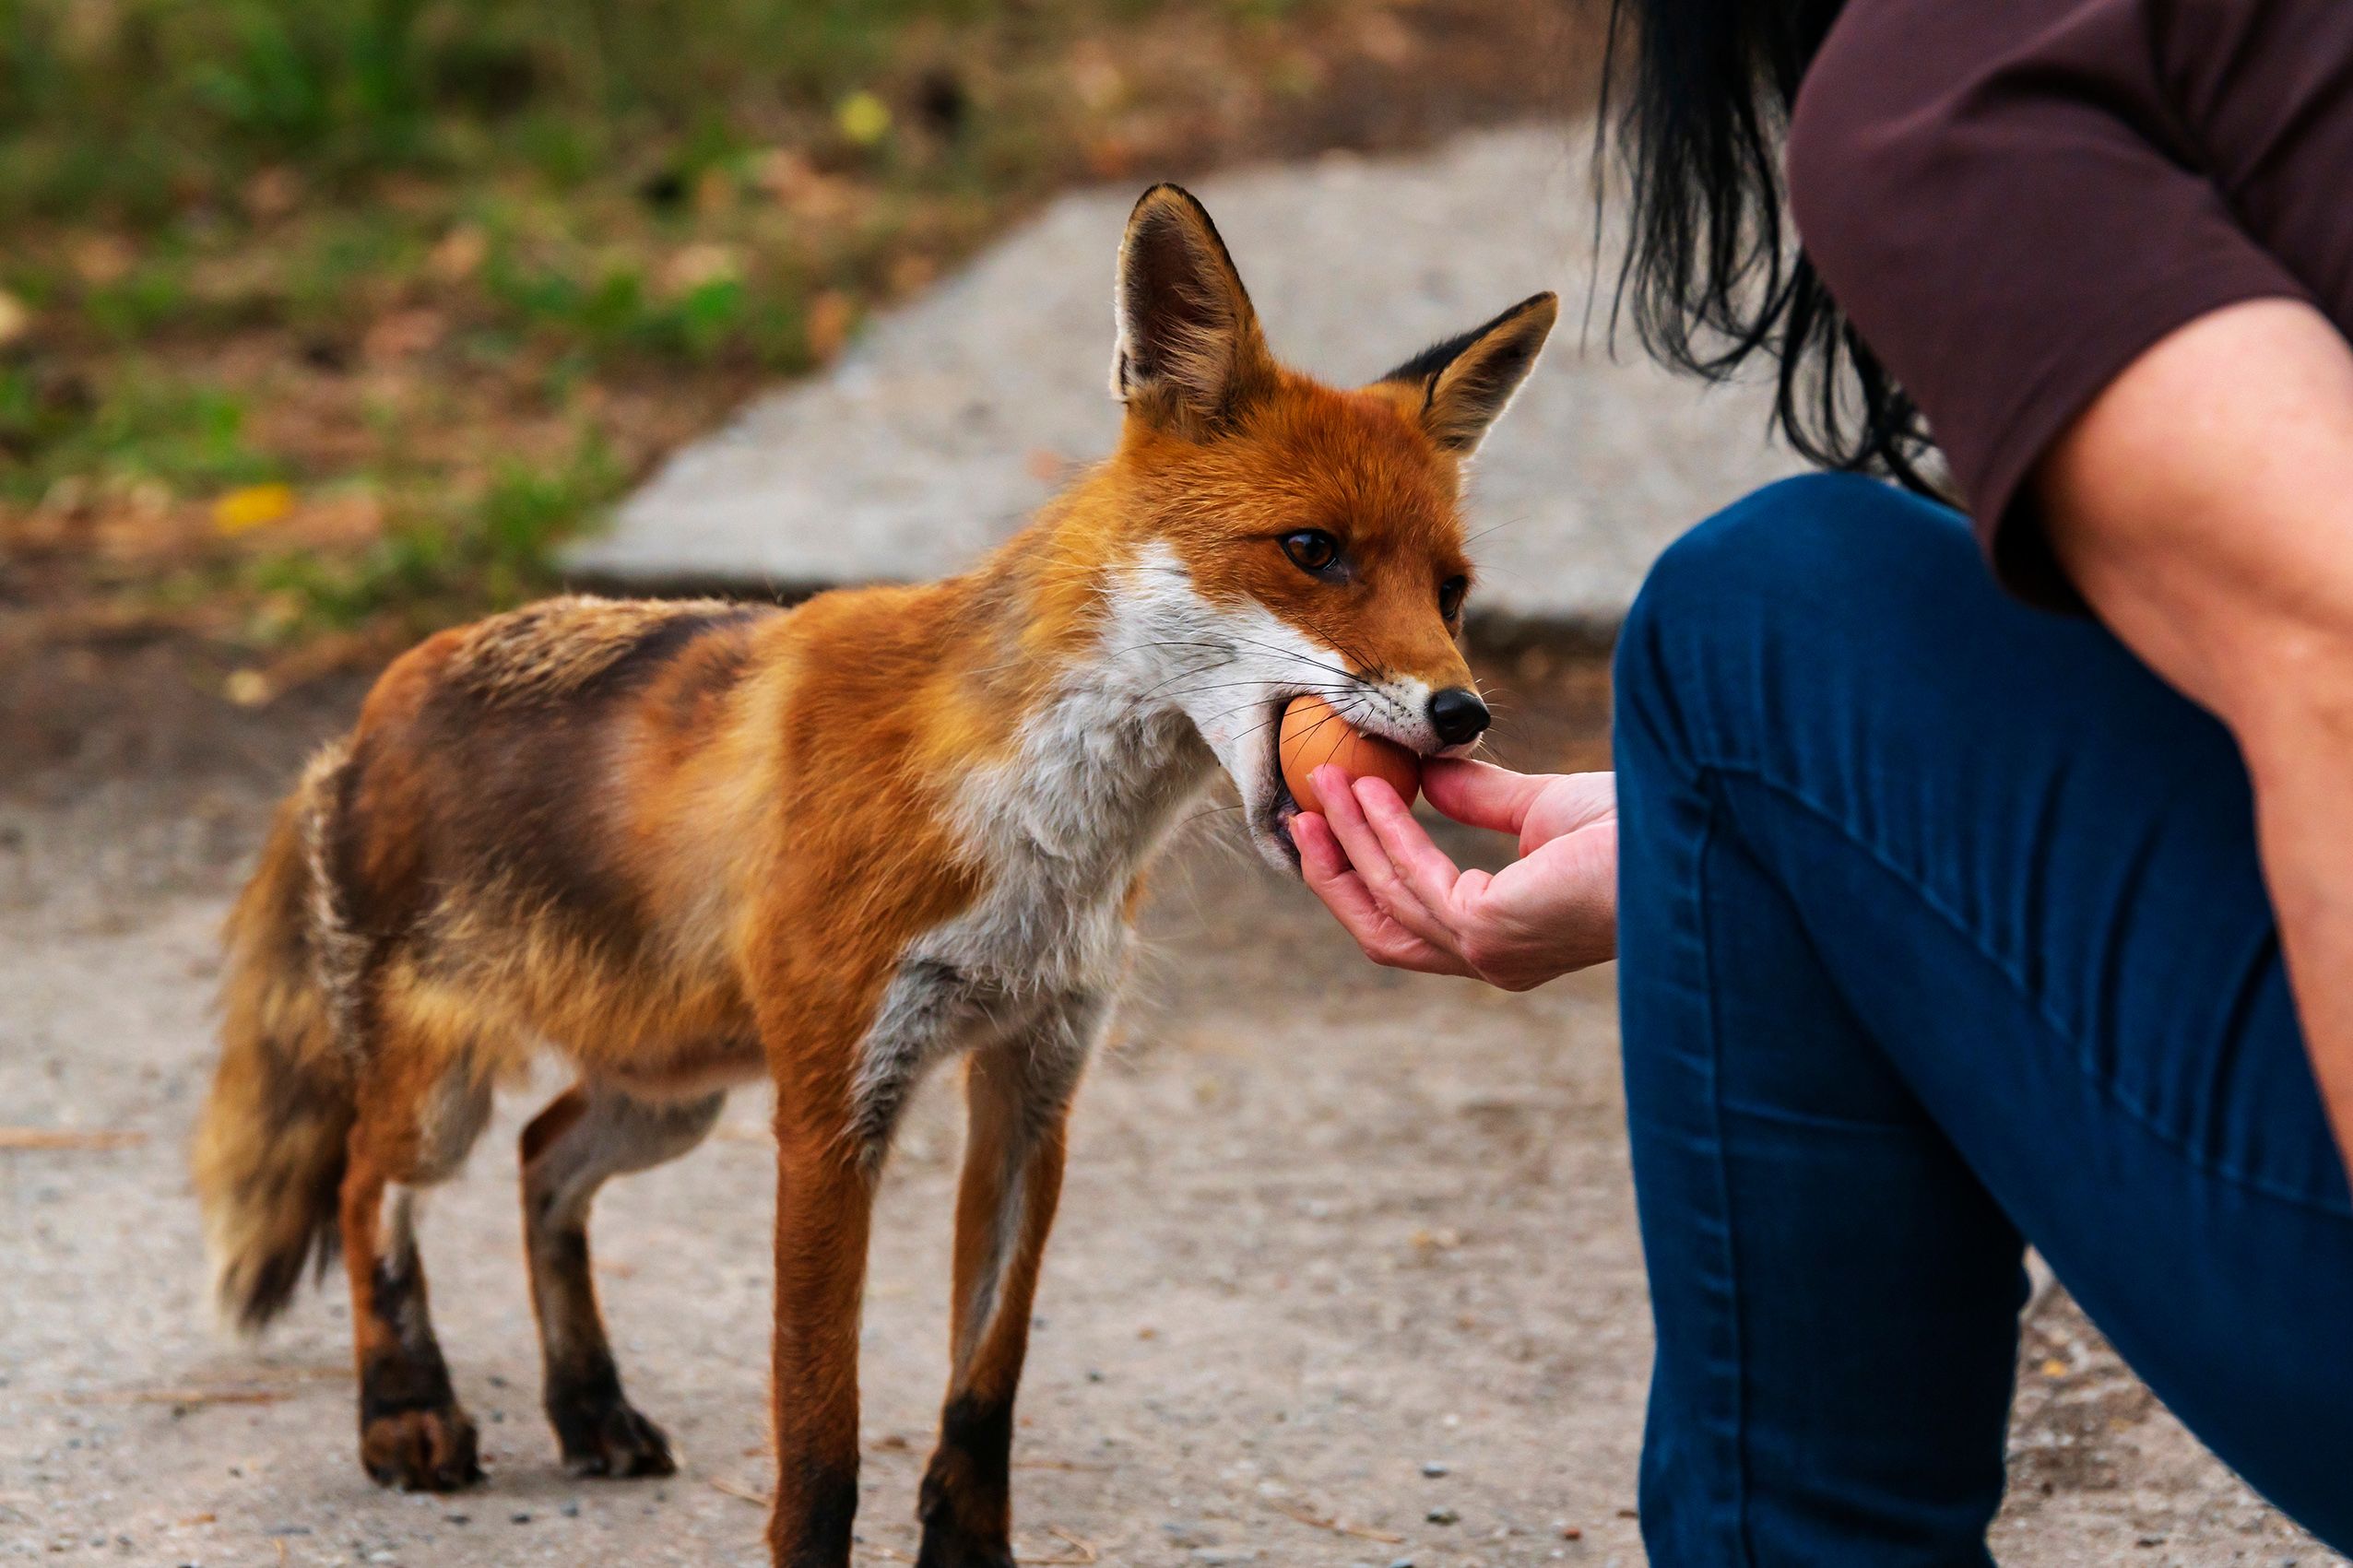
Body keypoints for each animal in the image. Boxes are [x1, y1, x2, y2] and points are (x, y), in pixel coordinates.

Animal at [193, 186, 1553, 1568]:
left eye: (1450, 591)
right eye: (1311, 550)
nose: (1462, 716)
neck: (1046, 840)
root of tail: (369, 712)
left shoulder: (1032, 1088)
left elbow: (983, 1391)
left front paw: (969, 1555)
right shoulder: (835, 1111)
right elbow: (821, 1432)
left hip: (672, 1091)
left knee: (542, 1161)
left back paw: (587, 1404)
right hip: (448, 1094)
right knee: (370, 1190)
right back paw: (404, 1410)